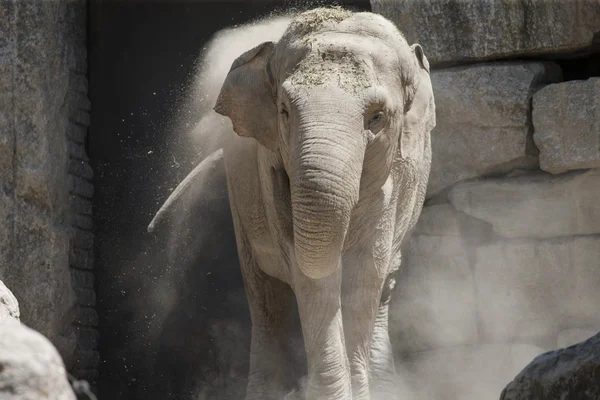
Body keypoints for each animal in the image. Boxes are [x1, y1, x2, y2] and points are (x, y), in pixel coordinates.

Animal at [148, 6, 434, 400]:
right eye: (284, 111)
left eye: (377, 118)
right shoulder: (266, 170)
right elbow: (308, 274)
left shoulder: (393, 177)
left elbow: (364, 273)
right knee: (265, 296)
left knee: (385, 283)